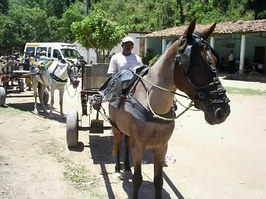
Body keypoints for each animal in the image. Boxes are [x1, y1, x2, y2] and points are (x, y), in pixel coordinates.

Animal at [108, 20, 231, 199]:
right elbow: (137, 180)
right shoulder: (139, 147)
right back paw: (118, 167)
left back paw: (126, 166)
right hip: (116, 126)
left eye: (215, 62)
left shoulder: (162, 147)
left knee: (126, 140)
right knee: (118, 142)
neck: (153, 107)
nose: (222, 110)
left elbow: (158, 181)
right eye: (196, 63)